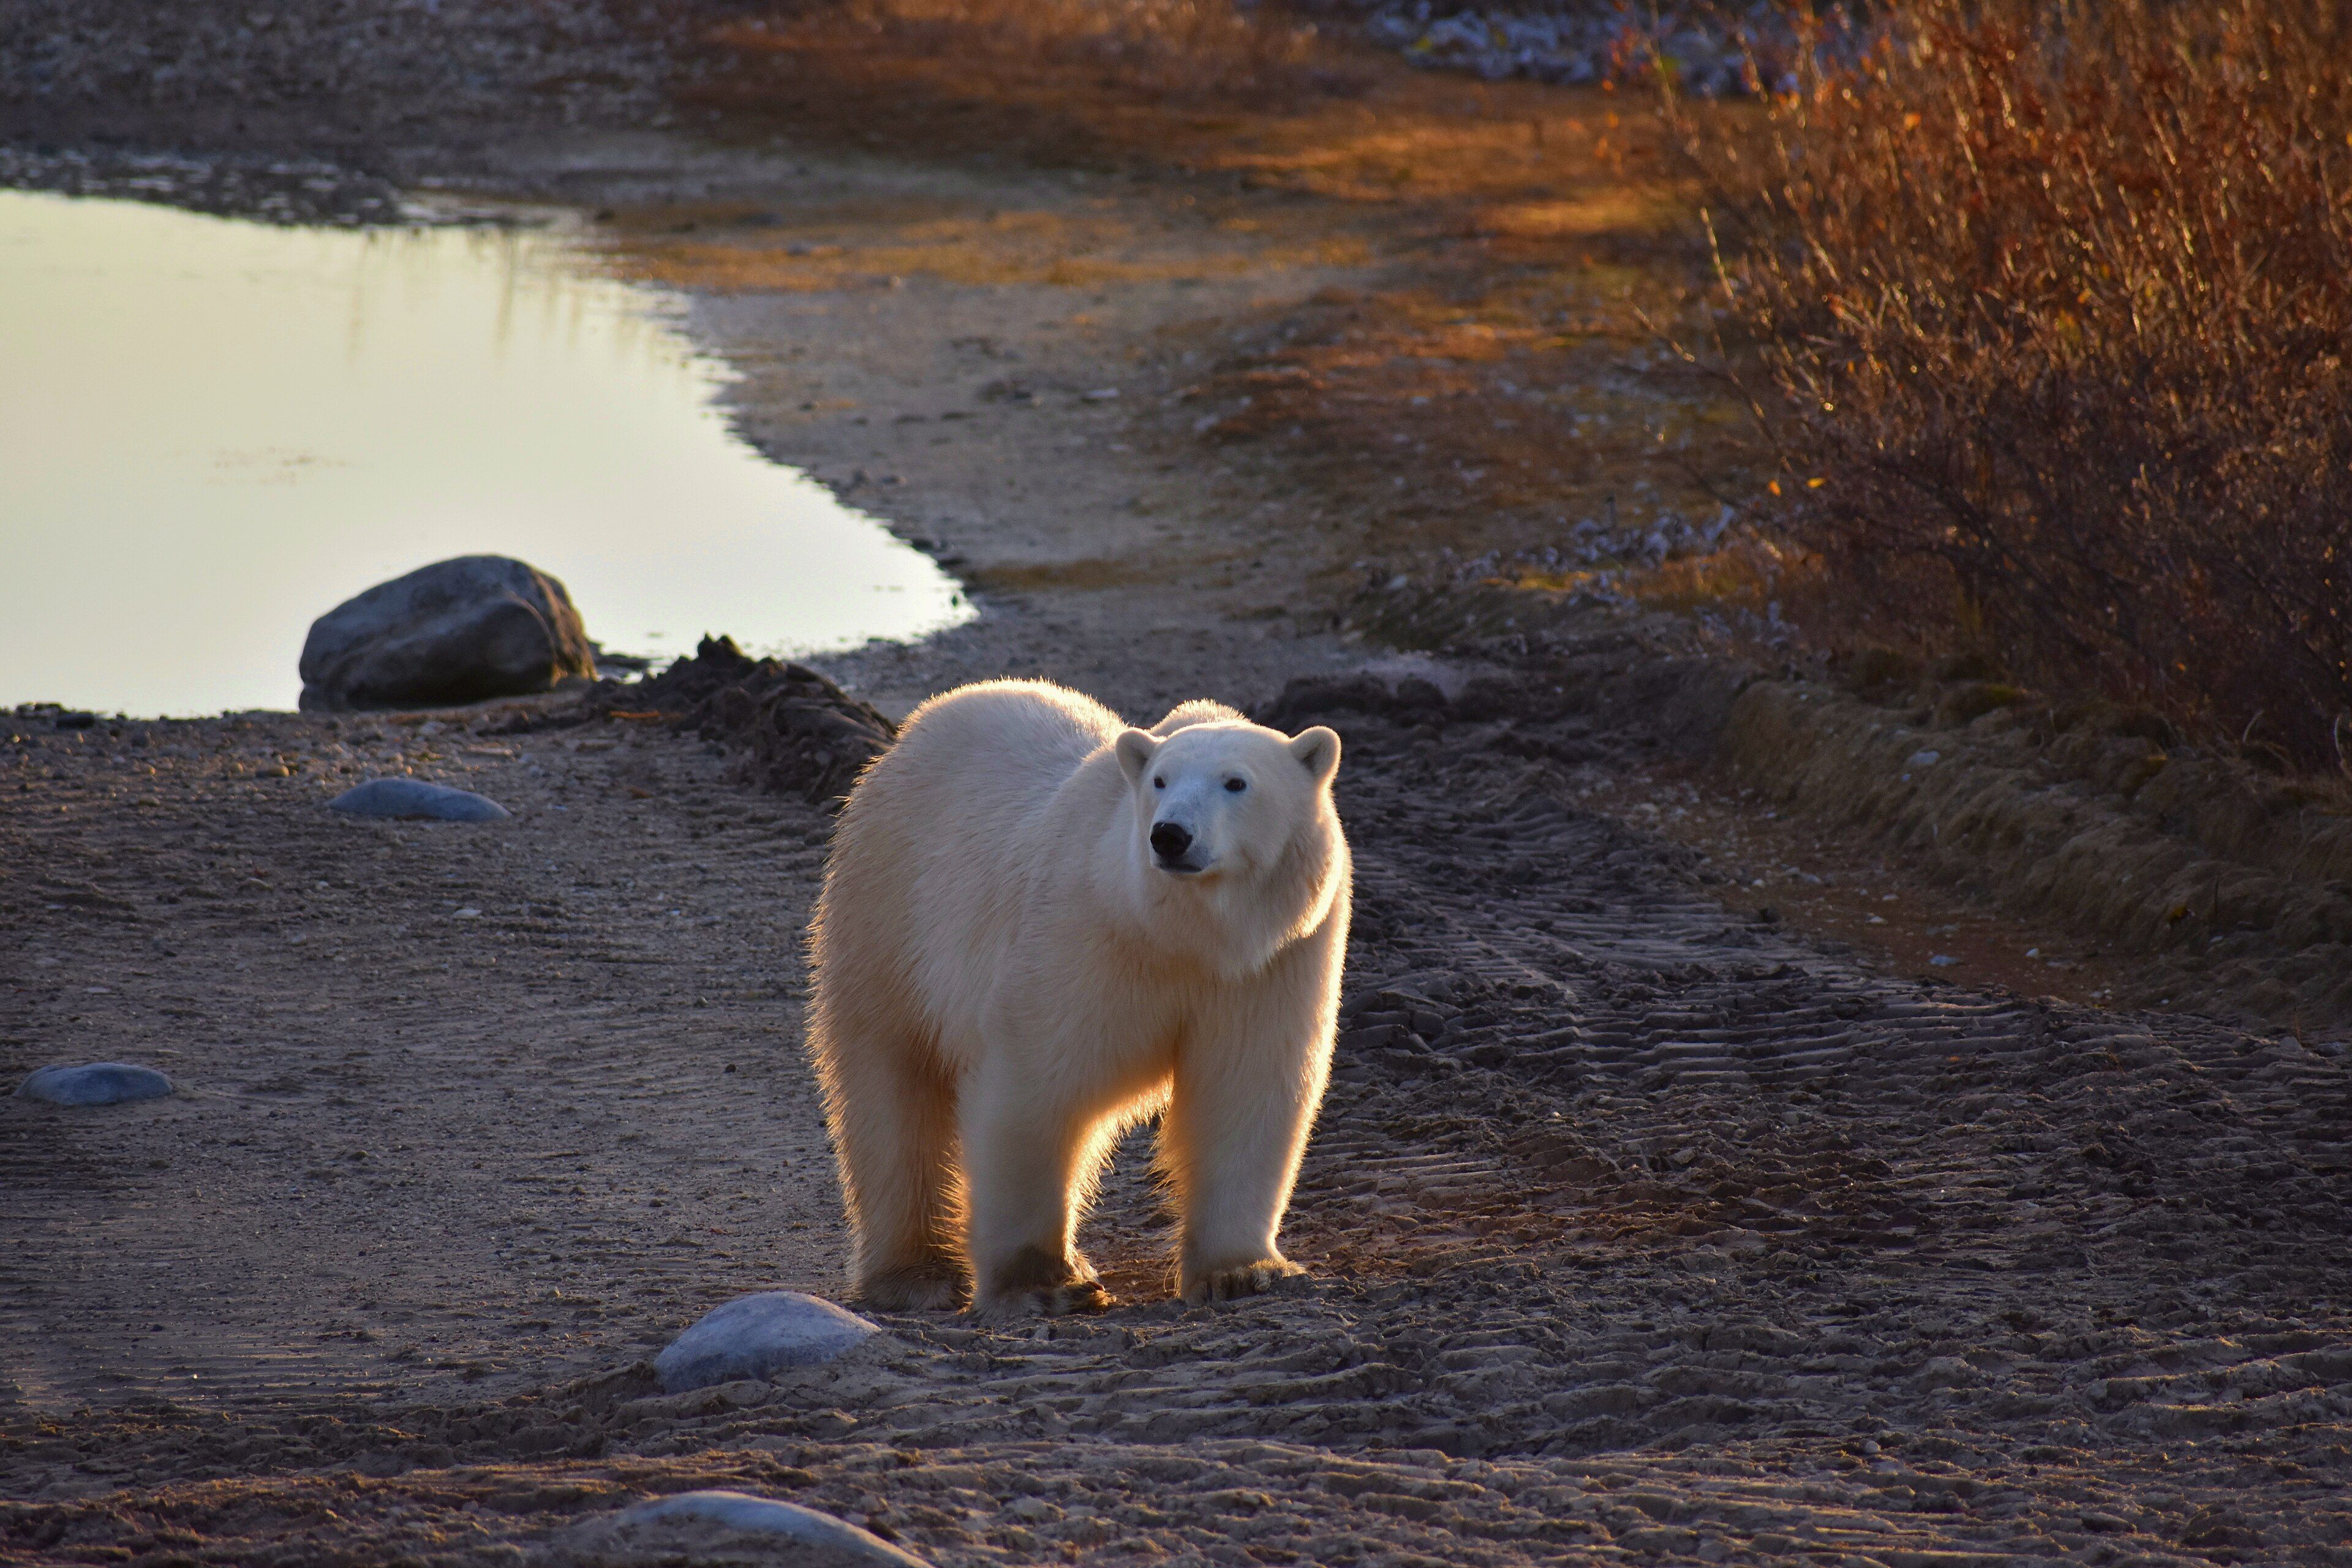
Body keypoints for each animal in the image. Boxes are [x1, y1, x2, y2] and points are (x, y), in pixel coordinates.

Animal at [805, 679, 1350, 1315]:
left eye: (1236, 782)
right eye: (1160, 780)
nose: (1169, 836)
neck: (1184, 938)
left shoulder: (1273, 963)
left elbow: (1246, 1089)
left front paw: (1243, 1271)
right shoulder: (1080, 935)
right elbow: (1037, 1086)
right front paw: (1044, 1284)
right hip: (890, 913)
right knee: (891, 1087)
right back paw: (917, 1274)